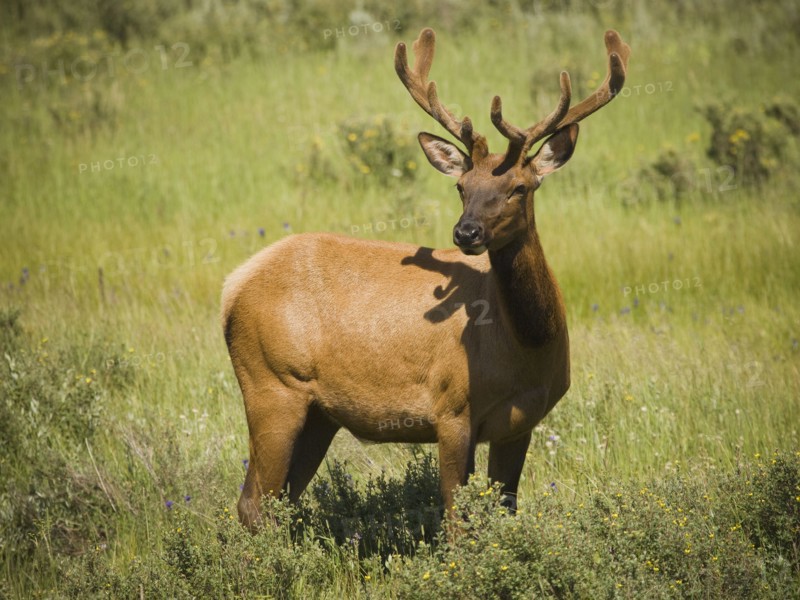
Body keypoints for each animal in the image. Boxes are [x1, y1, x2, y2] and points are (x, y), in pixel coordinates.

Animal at [222, 27, 630, 530]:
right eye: (461, 187)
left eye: (520, 187)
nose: (466, 232)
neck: (526, 348)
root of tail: (232, 285)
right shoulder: (450, 407)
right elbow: (456, 519)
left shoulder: (520, 424)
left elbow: (504, 510)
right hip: (271, 384)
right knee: (254, 502)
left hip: (318, 413)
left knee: (280, 499)